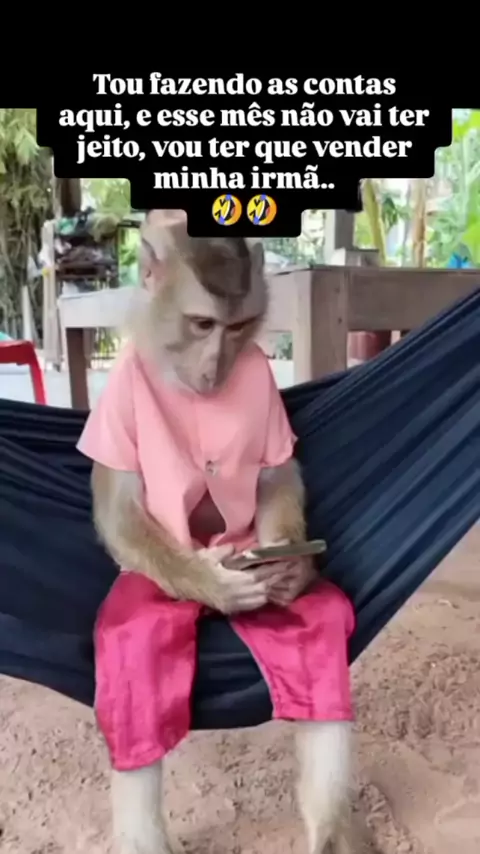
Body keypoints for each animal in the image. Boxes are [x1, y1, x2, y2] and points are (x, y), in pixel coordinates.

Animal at [77, 209, 355, 854]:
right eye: (201, 323)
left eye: (239, 326)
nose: (214, 366)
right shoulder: (119, 398)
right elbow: (121, 509)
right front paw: (216, 583)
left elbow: (276, 475)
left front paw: (291, 565)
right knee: (136, 658)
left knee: (320, 637)